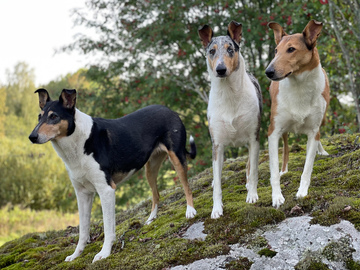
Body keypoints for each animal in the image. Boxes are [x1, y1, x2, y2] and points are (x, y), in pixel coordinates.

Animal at [28, 89, 197, 262]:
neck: (78, 144)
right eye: (39, 116)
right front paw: (76, 254)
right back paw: (151, 219)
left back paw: (190, 211)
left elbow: (108, 227)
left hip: (177, 158)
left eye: (54, 116)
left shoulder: (106, 190)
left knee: (187, 187)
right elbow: (83, 230)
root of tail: (169, 110)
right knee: (156, 194)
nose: (32, 137)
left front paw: (104, 253)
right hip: (150, 169)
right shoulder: (82, 194)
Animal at [200, 21, 262, 219]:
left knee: (250, 165)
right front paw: (216, 209)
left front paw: (252, 195)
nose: (220, 69)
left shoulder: (253, 138)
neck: (229, 94)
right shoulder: (217, 145)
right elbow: (217, 183)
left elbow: (253, 170)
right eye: (212, 51)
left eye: (230, 49)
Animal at [264, 20, 330, 208]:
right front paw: (277, 197)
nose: (268, 72)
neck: (299, 87)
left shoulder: (313, 131)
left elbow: (307, 168)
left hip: (322, 119)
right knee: (286, 147)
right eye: (276, 50)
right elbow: (273, 169)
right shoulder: (273, 131)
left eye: (291, 49)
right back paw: (284, 170)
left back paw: (322, 151)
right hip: (283, 129)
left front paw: (302, 192)